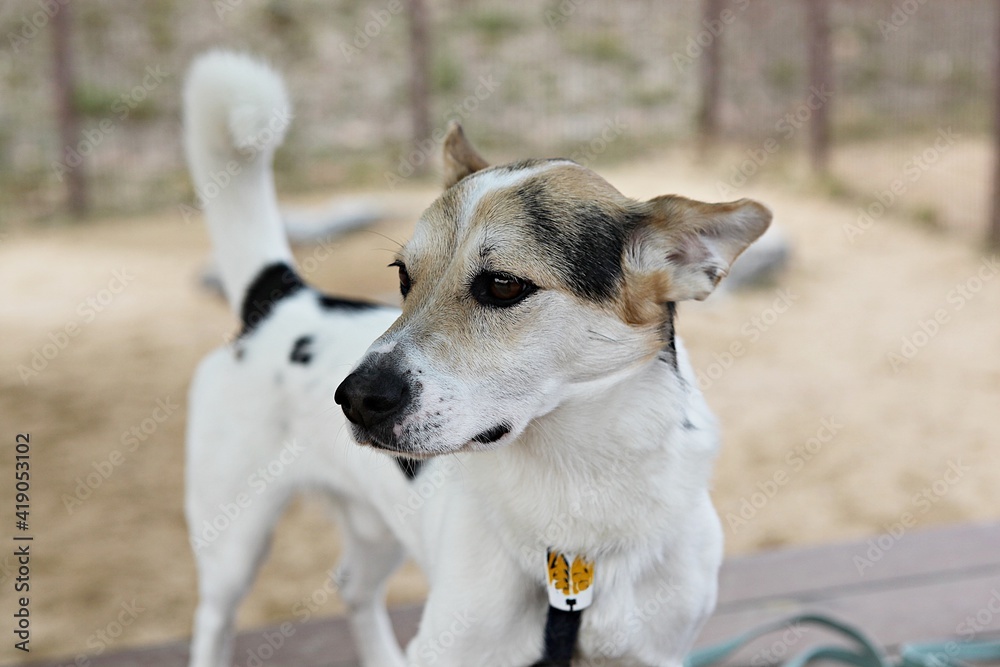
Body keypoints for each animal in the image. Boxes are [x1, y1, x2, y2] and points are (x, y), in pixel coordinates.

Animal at [182, 52, 772, 667]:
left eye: (504, 285)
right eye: (402, 276)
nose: (355, 400)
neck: (575, 487)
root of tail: (283, 299)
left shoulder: (656, 654)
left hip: (373, 526)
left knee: (353, 586)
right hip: (233, 541)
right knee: (214, 617)